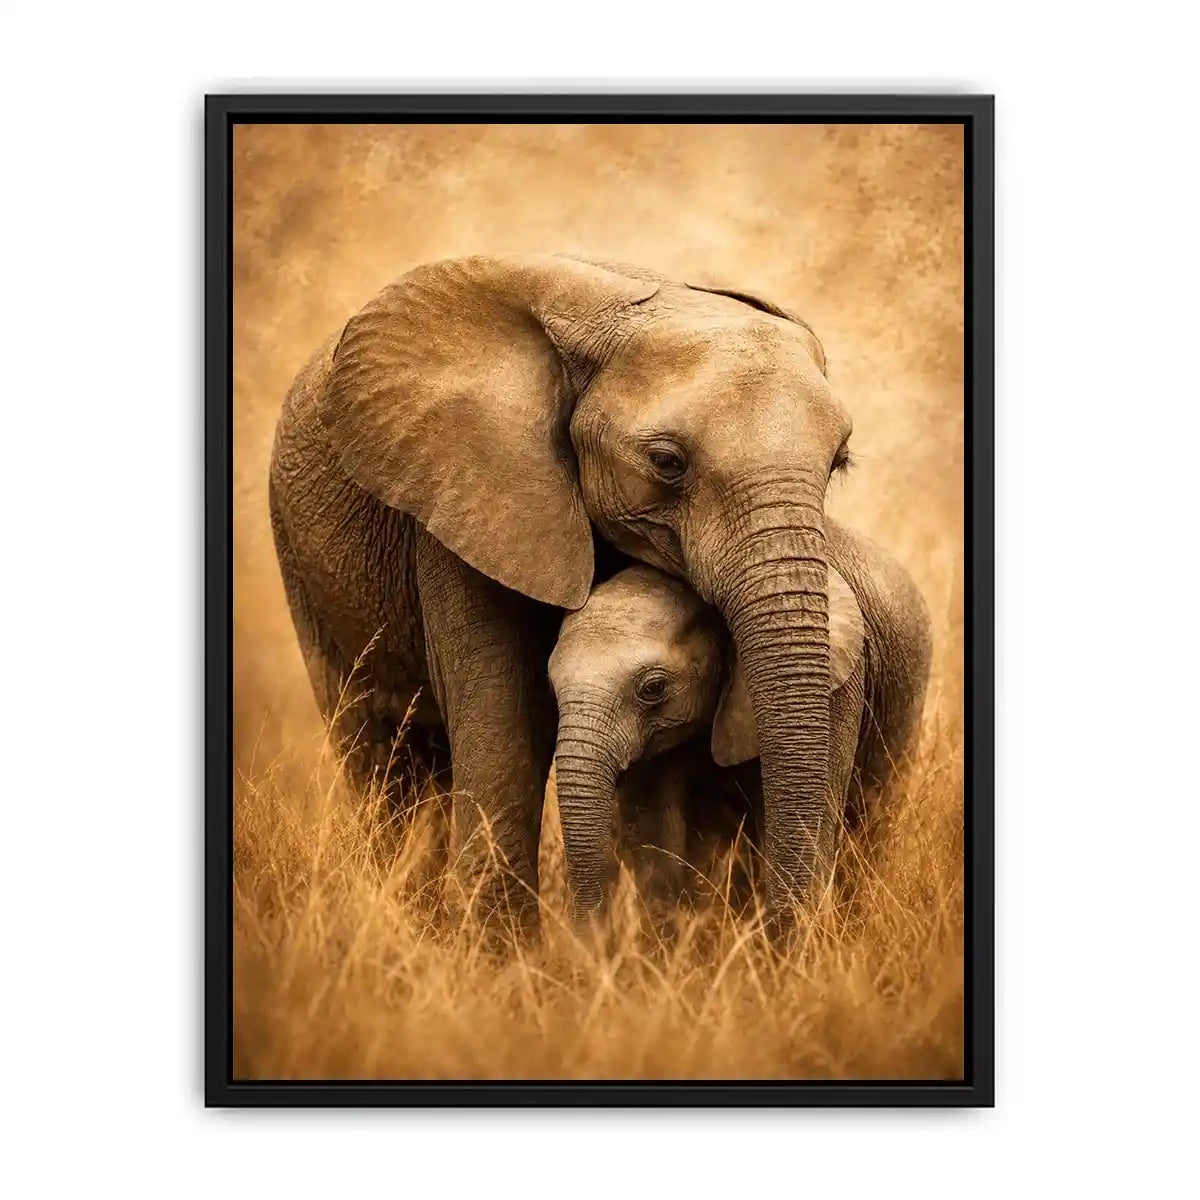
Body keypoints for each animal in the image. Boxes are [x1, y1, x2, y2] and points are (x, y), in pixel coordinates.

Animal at [269, 252, 867, 928]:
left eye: (839, 462)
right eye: (667, 462)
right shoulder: (469, 492)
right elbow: (504, 718)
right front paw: (501, 953)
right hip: (299, 555)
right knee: (376, 750)